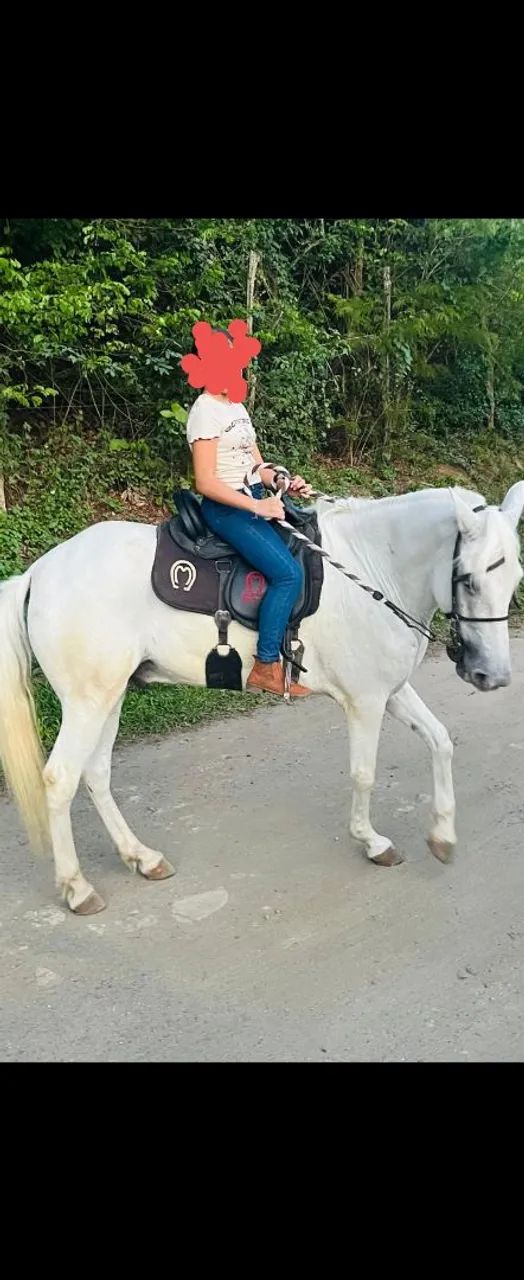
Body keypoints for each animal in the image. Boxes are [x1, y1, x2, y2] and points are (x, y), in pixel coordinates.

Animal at [0, 481, 523, 916]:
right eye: (469, 579)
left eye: (515, 578)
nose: (491, 675)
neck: (374, 568)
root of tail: (40, 571)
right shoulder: (366, 700)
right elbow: (364, 774)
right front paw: (371, 841)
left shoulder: (392, 691)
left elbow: (440, 741)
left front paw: (443, 836)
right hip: (87, 702)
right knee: (60, 779)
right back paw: (77, 888)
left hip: (111, 694)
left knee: (96, 774)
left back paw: (141, 858)